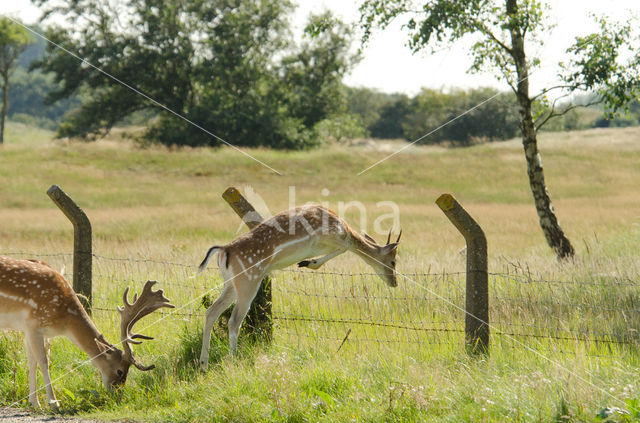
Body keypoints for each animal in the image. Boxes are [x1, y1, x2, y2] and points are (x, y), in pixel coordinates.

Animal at [0, 256, 175, 410]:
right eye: (120, 371)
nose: (118, 395)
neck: (64, 321)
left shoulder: (31, 329)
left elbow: (32, 362)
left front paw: (34, 403)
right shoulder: (34, 323)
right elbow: (44, 362)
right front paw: (54, 403)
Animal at [195, 205, 400, 368]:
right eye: (393, 261)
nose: (395, 282)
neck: (344, 229)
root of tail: (224, 250)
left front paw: (307, 262)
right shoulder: (327, 236)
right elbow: (343, 248)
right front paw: (308, 263)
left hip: (230, 284)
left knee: (211, 311)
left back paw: (203, 363)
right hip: (248, 281)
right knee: (234, 321)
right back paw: (233, 361)